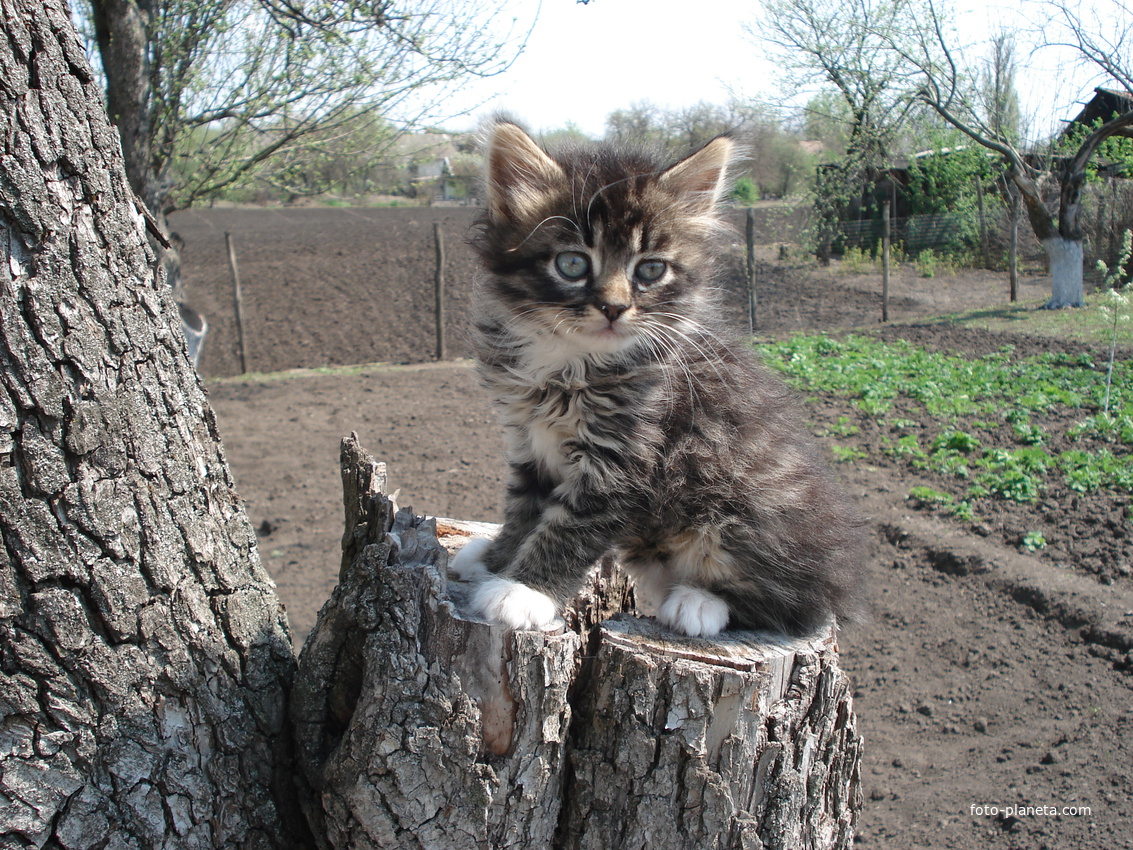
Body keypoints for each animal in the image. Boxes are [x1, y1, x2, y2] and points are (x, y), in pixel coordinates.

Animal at [446, 121, 861, 639]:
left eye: (650, 269)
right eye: (572, 263)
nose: (614, 307)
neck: (571, 360)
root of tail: (840, 575)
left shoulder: (628, 460)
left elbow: (569, 528)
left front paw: (524, 592)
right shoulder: (530, 442)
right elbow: (524, 510)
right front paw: (497, 562)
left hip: (751, 515)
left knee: (795, 606)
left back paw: (699, 603)